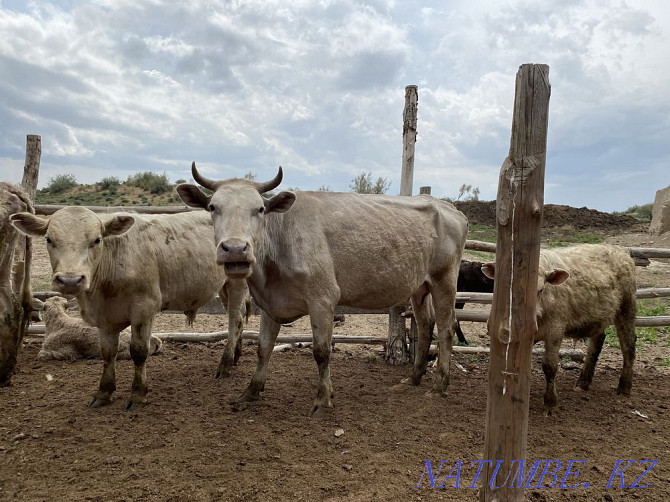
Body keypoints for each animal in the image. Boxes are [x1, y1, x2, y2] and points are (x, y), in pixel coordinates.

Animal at [9, 206, 252, 410]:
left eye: (97, 240)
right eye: (49, 239)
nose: (70, 280)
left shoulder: (144, 309)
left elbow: (139, 352)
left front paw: (138, 394)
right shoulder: (104, 318)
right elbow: (108, 353)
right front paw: (103, 393)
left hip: (237, 281)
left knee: (235, 321)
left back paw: (225, 364)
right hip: (223, 286)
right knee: (238, 318)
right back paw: (236, 356)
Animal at [178, 163, 472, 418]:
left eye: (260, 208)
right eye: (213, 207)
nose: (236, 249)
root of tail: (449, 207)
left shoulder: (323, 299)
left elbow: (321, 351)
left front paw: (323, 401)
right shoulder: (270, 304)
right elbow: (263, 348)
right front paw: (250, 392)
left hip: (445, 279)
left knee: (446, 327)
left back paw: (439, 385)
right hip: (419, 286)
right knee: (426, 325)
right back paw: (413, 378)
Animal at [486, 244, 636, 416]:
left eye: (541, 289)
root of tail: (619, 249)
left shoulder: (555, 330)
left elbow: (549, 366)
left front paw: (550, 403)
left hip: (626, 308)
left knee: (628, 345)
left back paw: (624, 387)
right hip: (597, 319)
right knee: (597, 343)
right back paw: (583, 382)